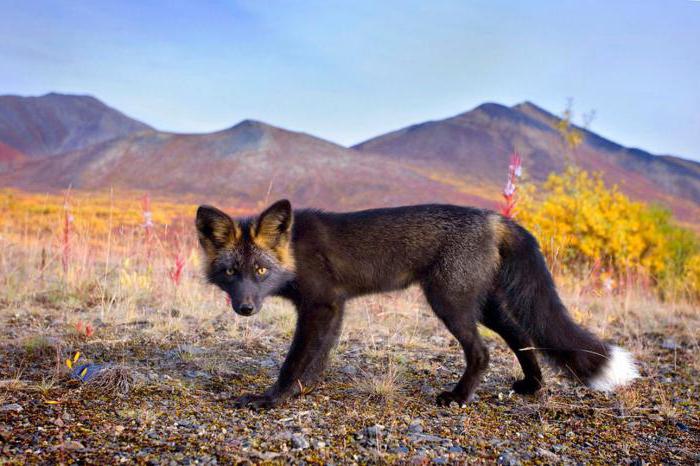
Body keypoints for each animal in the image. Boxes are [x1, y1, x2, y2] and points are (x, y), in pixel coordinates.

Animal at [196, 199, 640, 408]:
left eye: (261, 271)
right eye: (231, 273)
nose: (245, 309)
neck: (294, 251)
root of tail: (493, 217)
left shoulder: (321, 304)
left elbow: (295, 360)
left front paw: (272, 399)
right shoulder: (335, 306)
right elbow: (318, 359)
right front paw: (303, 392)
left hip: (449, 302)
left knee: (482, 352)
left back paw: (458, 398)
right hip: (483, 305)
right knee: (523, 337)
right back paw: (532, 386)